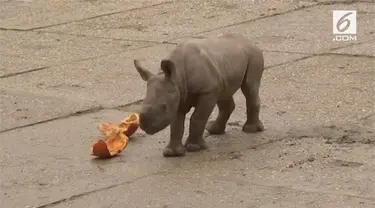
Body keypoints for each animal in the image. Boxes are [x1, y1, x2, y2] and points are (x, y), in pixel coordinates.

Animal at [134, 33, 266, 158]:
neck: (178, 77)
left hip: (253, 55)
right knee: (224, 92)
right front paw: (172, 153)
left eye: (164, 107)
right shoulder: (178, 95)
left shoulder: (207, 92)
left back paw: (250, 130)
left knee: (249, 87)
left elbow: (197, 117)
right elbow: (176, 123)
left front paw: (194, 147)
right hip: (225, 63)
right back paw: (213, 129)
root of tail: (249, 40)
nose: (146, 126)